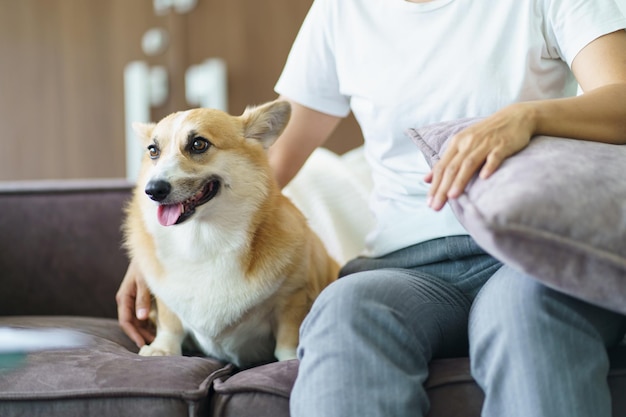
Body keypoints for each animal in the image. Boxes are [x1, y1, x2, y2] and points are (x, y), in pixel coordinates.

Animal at [122, 101, 336, 368]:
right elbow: (170, 322)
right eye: (153, 150)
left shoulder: (292, 297)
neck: (202, 239)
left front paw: (289, 360)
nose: (153, 190)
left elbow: (288, 337)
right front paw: (162, 349)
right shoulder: (165, 298)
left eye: (198, 144)